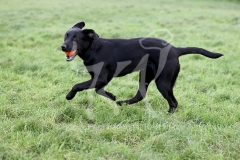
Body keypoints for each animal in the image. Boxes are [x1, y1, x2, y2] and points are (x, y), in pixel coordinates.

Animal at [61, 21, 222, 113]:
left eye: (76, 38)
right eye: (66, 35)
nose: (63, 47)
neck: (94, 48)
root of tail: (175, 49)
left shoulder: (101, 78)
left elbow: (78, 85)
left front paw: (69, 96)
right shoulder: (100, 80)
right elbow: (98, 90)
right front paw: (113, 96)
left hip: (163, 82)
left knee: (173, 102)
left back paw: (167, 114)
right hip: (146, 74)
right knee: (141, 94)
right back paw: (123, 103)